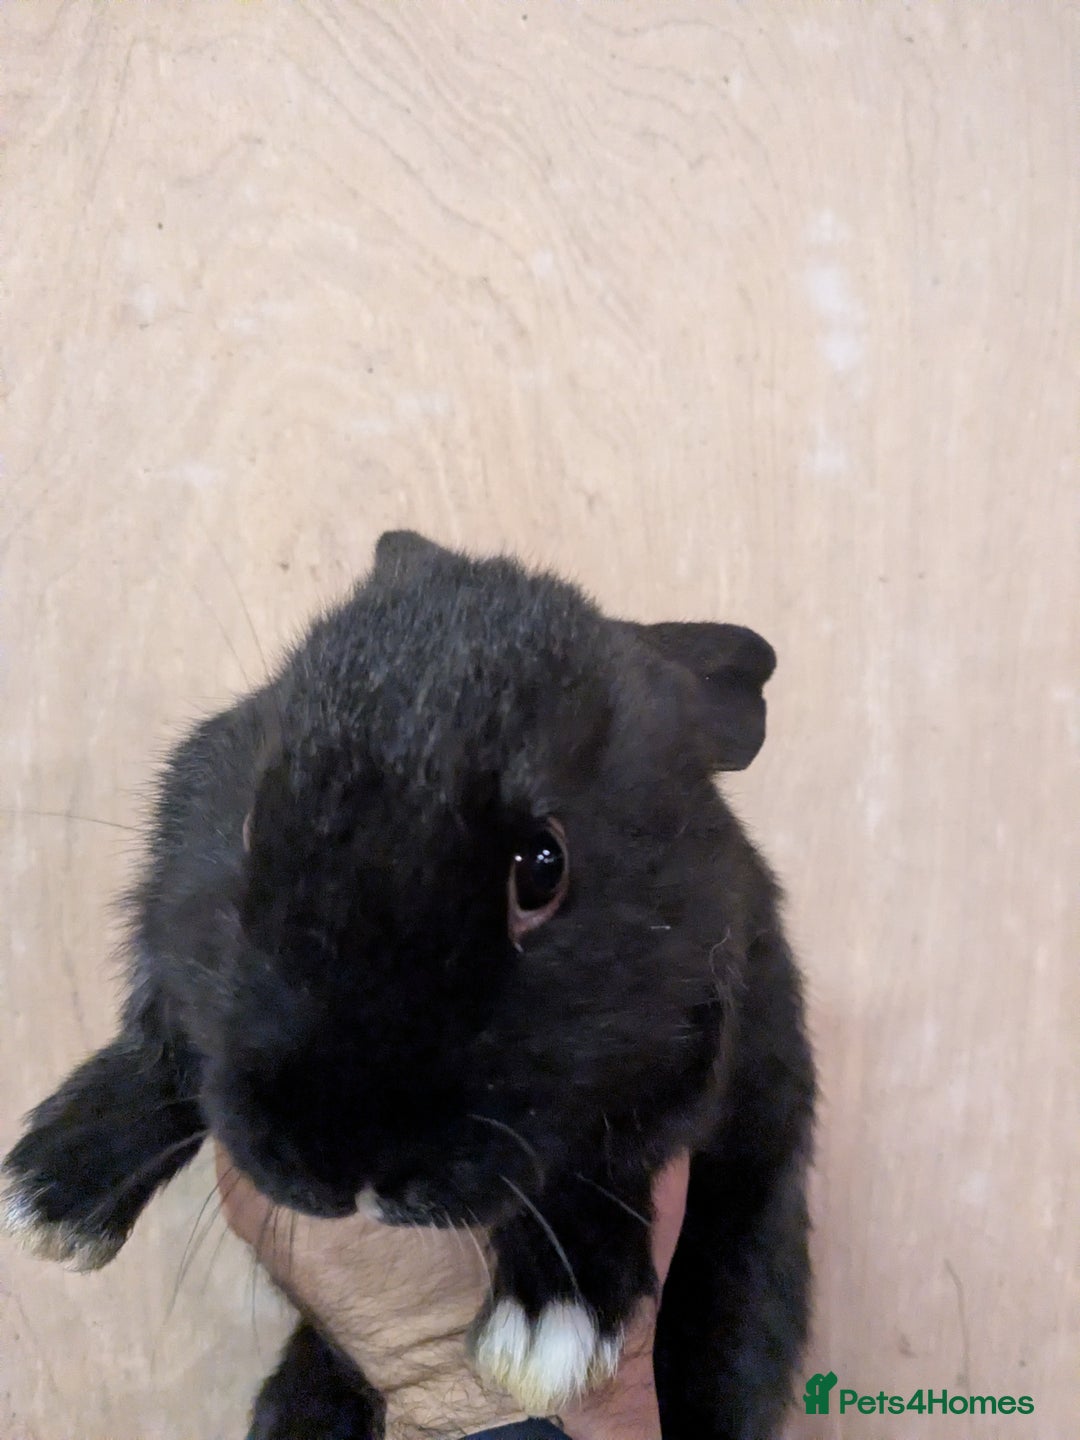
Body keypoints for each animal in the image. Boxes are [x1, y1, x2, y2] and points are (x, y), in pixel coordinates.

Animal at [1, 530, 815, 1440]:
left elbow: (604, 1161)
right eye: (251, 823)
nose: (341, 1164)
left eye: (544, 869)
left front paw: (552, 1326)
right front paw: (51, 1192)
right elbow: (163, 1053)